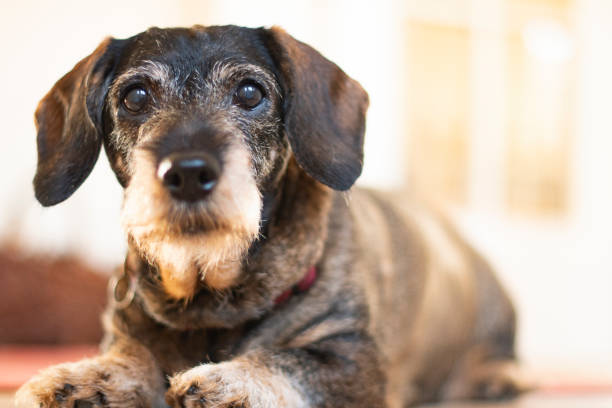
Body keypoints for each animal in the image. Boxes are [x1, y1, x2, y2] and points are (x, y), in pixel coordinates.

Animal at [14, 25, 524, 408]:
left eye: (249, 91)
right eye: (136, 96)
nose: (187, 172)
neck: (209, 303)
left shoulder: (354, 360)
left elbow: (290, 360)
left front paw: (229, 380)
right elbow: (132, 358)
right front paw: (73, 379)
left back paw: (496, 376)